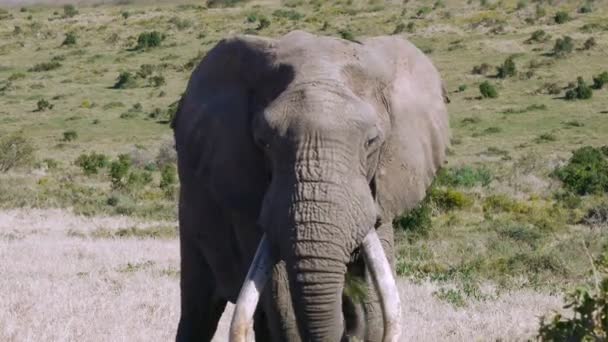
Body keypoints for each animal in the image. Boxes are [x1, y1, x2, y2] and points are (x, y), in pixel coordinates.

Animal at [173, 30, 448, 342]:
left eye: (371, 142)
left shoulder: (381, 193)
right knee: (199, 310)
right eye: (263, 142)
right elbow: (282, 295)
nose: (347, 325)